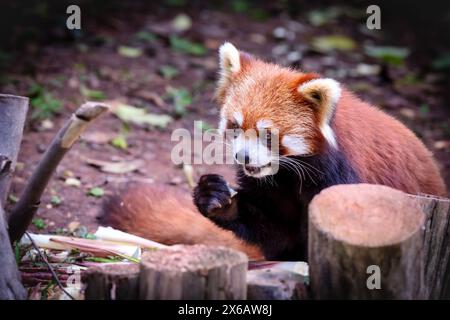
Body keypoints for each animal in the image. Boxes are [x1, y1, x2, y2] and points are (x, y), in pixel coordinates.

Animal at [99, 42, 446, 262]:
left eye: (268, 135)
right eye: (235, 126)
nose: (242, 158)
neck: (290, 179)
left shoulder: (347, 183)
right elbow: (277, 233)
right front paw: (217, 199)